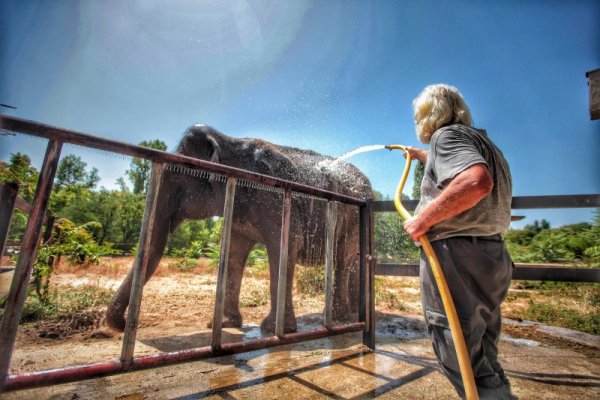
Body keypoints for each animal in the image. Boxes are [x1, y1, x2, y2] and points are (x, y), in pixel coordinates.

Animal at [105, 125, 372, 334]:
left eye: (177, 178)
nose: (126, 325)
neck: (228, 141)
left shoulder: (273, 193)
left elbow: (286, 244)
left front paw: (273, 330)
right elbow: (233, 254)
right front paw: (226, 324)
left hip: (353, 218)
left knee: (342, 259)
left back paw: (338, 318)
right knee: (348, 261)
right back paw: (350, 315)